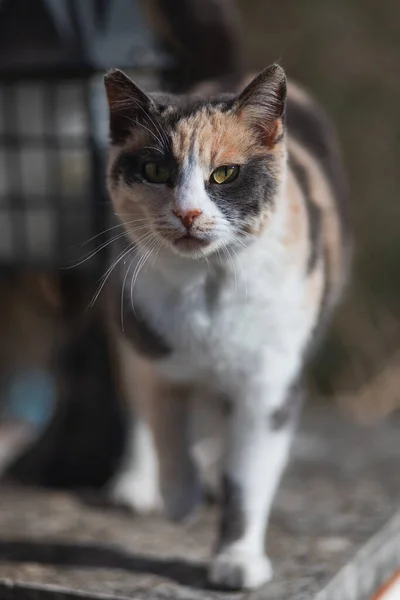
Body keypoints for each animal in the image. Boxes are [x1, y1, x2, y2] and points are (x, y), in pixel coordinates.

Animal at [103, 63, 350, 588]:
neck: (209, 284)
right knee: (137, 406)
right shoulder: (154, 350)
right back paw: (136, 485)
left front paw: (237, 561)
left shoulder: (270, 385)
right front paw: (180, 498)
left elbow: (248, 478)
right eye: (156, 171)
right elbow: (167, 426)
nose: (188, 212)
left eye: (225, 174)